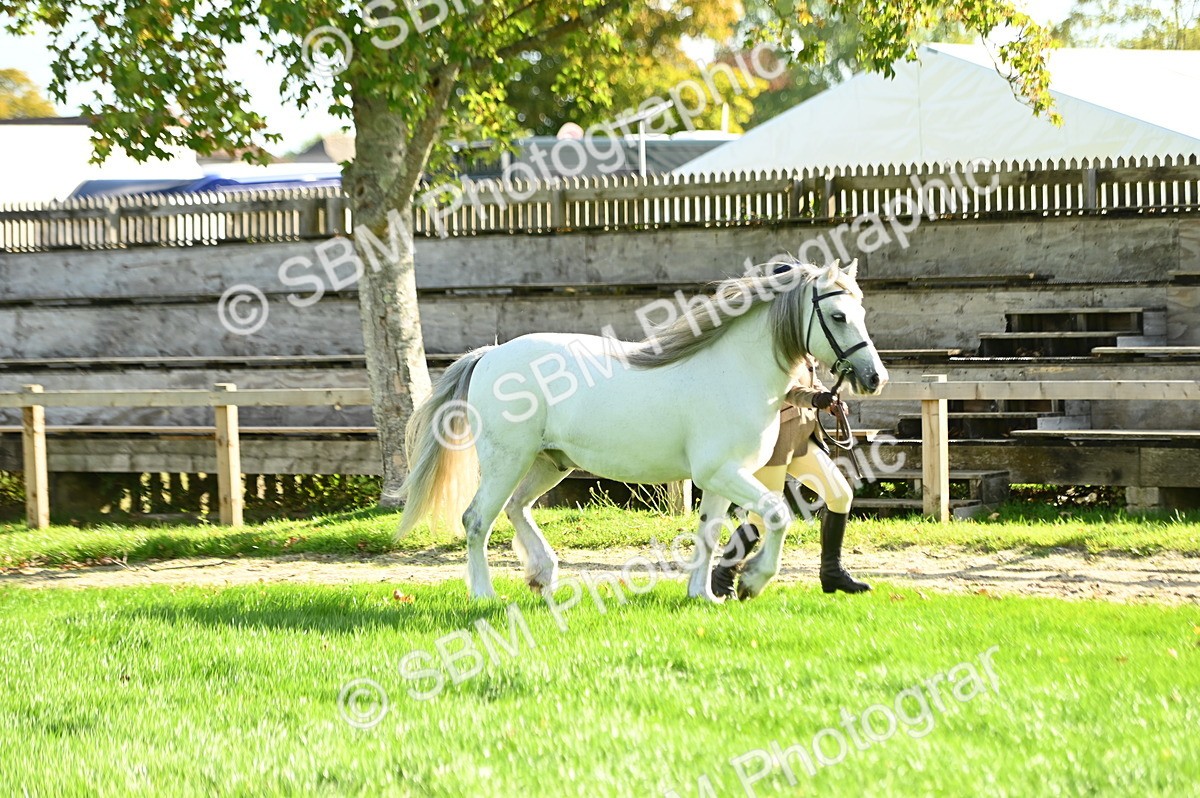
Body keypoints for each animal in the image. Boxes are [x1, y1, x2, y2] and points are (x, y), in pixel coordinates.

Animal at [397, 259, 888, 602]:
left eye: (863, 311)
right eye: (839, 316)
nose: (875, 378)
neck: (736, 370)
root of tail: (488, 356)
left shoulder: (721, 478)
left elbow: (709, 532)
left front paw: (703, 595)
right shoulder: (721, 472)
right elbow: (776, 514)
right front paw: (751, 582)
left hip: (550, 462)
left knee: (518, 508)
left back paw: (543, 575)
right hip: (507, 460)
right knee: (477, 519)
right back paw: (485, 595)